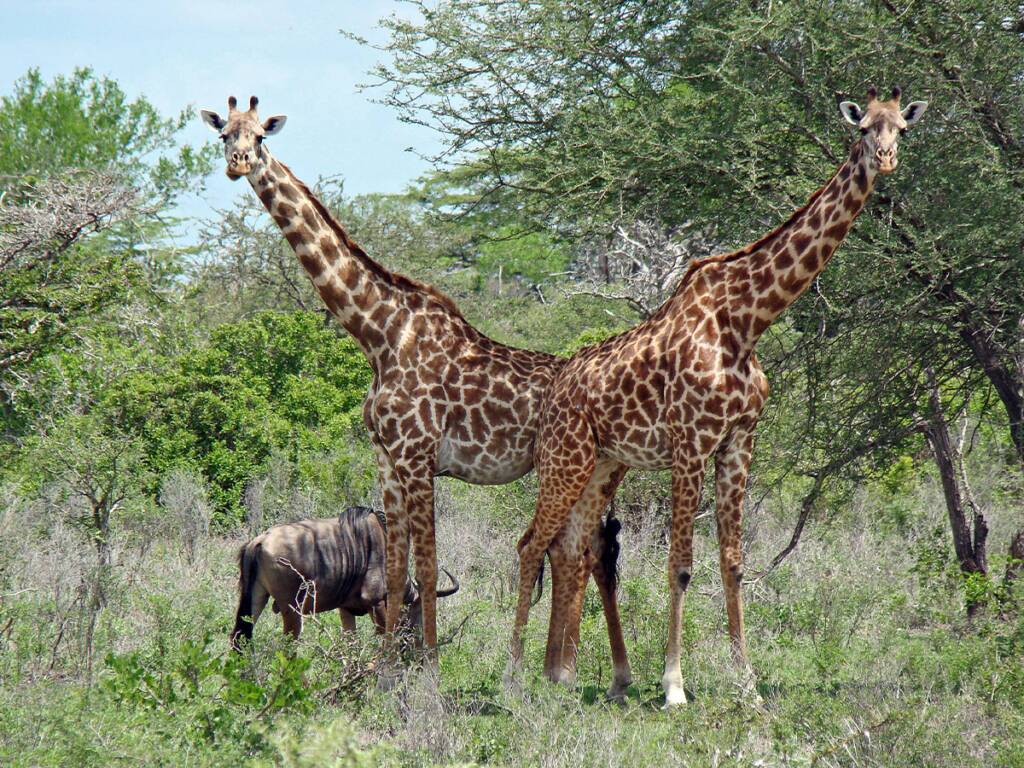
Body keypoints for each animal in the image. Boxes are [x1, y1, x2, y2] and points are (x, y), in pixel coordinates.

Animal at [198, 96, 631, 685]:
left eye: (261, 137)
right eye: (224, 135)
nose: (238, 163)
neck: (379, 333)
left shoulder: (418, 454)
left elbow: (425, 566)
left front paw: (427, 667)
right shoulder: (386, 457)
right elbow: (397, 566)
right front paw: (384, 669)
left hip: (572, 469)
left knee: (572, 551)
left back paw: (550, 670)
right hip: (599, 471)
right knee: (581, 551)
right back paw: (562, 670)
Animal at [507, 87, 928, 704]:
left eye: (901, 127)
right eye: (863, 127)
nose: (886, 159)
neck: (747, 320)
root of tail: (556, 387)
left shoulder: (737, 442)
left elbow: (733, 562)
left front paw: (747, 684)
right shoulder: (689, 444)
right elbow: (681, 564)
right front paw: (674, 688)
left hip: (603, 464)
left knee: (571, 546)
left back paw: (562, 677)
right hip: (564, 458)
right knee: (529, 544)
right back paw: (516, 676)